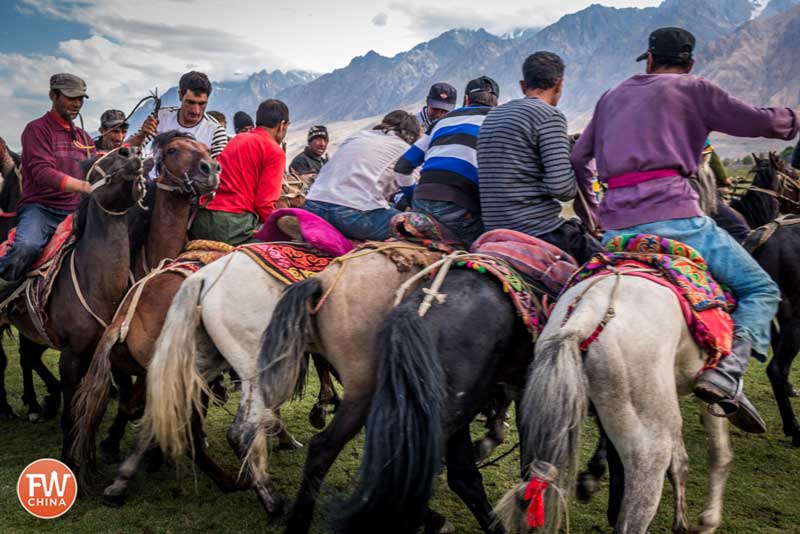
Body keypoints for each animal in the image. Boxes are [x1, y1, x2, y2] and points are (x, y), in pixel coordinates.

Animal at [496, 276, 736, 534]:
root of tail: (582, 321)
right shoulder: (705, 391)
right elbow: (718, 451)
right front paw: (707, 521)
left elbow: (683, 459)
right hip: (650, 445)